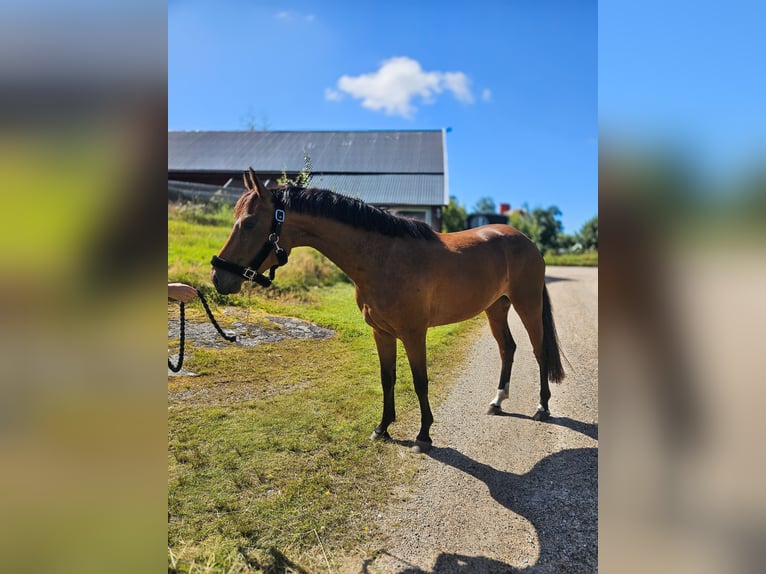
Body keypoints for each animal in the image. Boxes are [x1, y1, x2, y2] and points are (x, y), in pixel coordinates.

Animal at [210, 171, 564, 454]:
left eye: (249, 223)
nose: (218, 276)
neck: (383, 259)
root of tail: (526, 241)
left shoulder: (413, 333)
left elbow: (420, 381)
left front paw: (424, 434)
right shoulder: (381, 332)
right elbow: (387, 378)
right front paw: (382, 428)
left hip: (527, 304)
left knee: (538, 350)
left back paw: (542, 407)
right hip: (495, 307)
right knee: (508, 348)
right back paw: (497, 401)